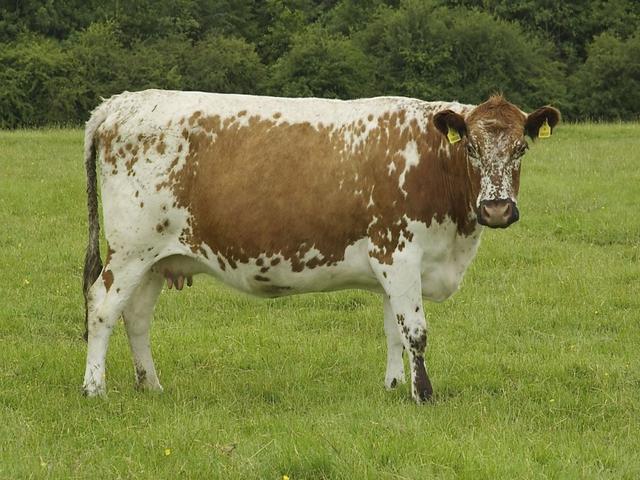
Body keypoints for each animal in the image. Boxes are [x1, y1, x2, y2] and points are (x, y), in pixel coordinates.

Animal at [82, 90, 560, 403]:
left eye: (520, 148)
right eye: (473, 149)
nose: (496, 209)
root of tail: (119, 103)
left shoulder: (393, 265)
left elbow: (393, 331)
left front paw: (392, 388)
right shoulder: (399, 253)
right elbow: (415, 331)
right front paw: (423, 395)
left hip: (157, 259)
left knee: (137, 316)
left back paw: (151, 384)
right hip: (131, 250)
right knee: (103, 306)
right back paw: (94, 388)